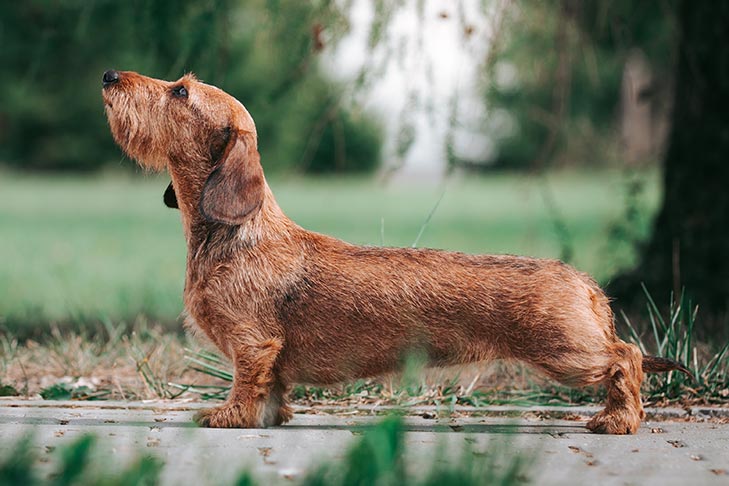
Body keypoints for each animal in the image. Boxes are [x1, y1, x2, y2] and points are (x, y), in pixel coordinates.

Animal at [102, 70, 688, 434]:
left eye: (180, 92)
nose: (110, 76)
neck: (237, 233)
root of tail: (586, 283)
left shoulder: (252, 343)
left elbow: (247, 383)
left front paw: (227, 417)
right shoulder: (269, 356)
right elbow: (272, 391)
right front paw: (267, 416)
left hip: (568, 354)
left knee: (627, 357)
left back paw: (618, 420)